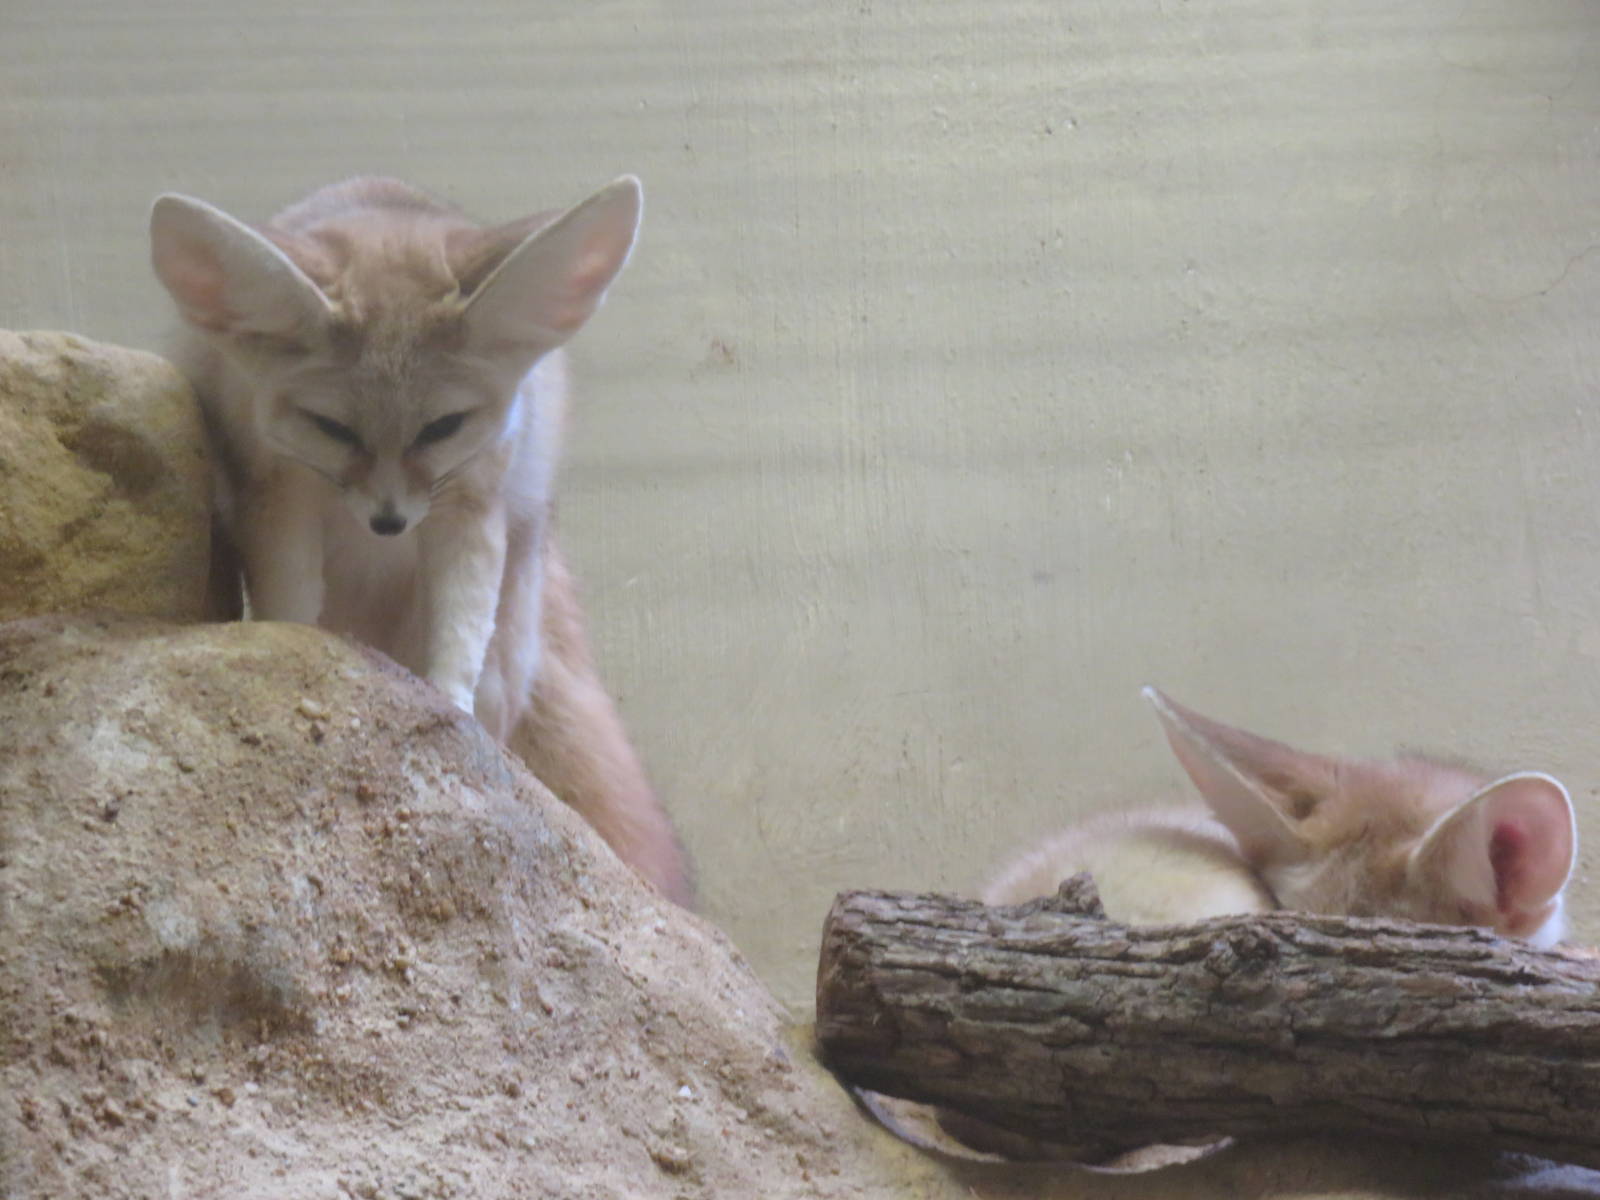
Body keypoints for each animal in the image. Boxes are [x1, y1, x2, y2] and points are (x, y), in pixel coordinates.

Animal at [148, 175, 692, 906]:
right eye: (332, 428)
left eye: (442, 428)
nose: (388, 522)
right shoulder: (279, 496)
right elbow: (291, 605)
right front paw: (295, 668)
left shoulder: (470, 503)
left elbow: (459, 635)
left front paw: (449, 710)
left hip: (510, 634)